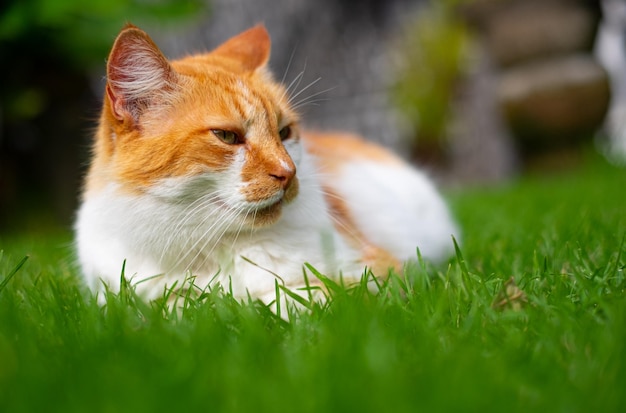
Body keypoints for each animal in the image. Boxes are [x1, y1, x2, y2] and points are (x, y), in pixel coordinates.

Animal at [74, 23, 458, 306]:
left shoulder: (378, 271)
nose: (289, 173)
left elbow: (297, 299)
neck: (210, 248)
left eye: (284, 132)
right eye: (227, 136)